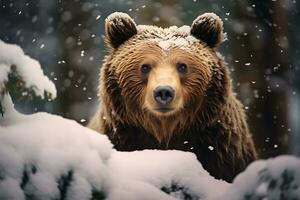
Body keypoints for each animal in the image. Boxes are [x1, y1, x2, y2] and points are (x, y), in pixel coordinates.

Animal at [88, 11, 256, 182]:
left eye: (182, 66)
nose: (163, 92)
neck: (165, 131)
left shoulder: (220, 147)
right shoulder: (120, 137)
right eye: (145, 67)